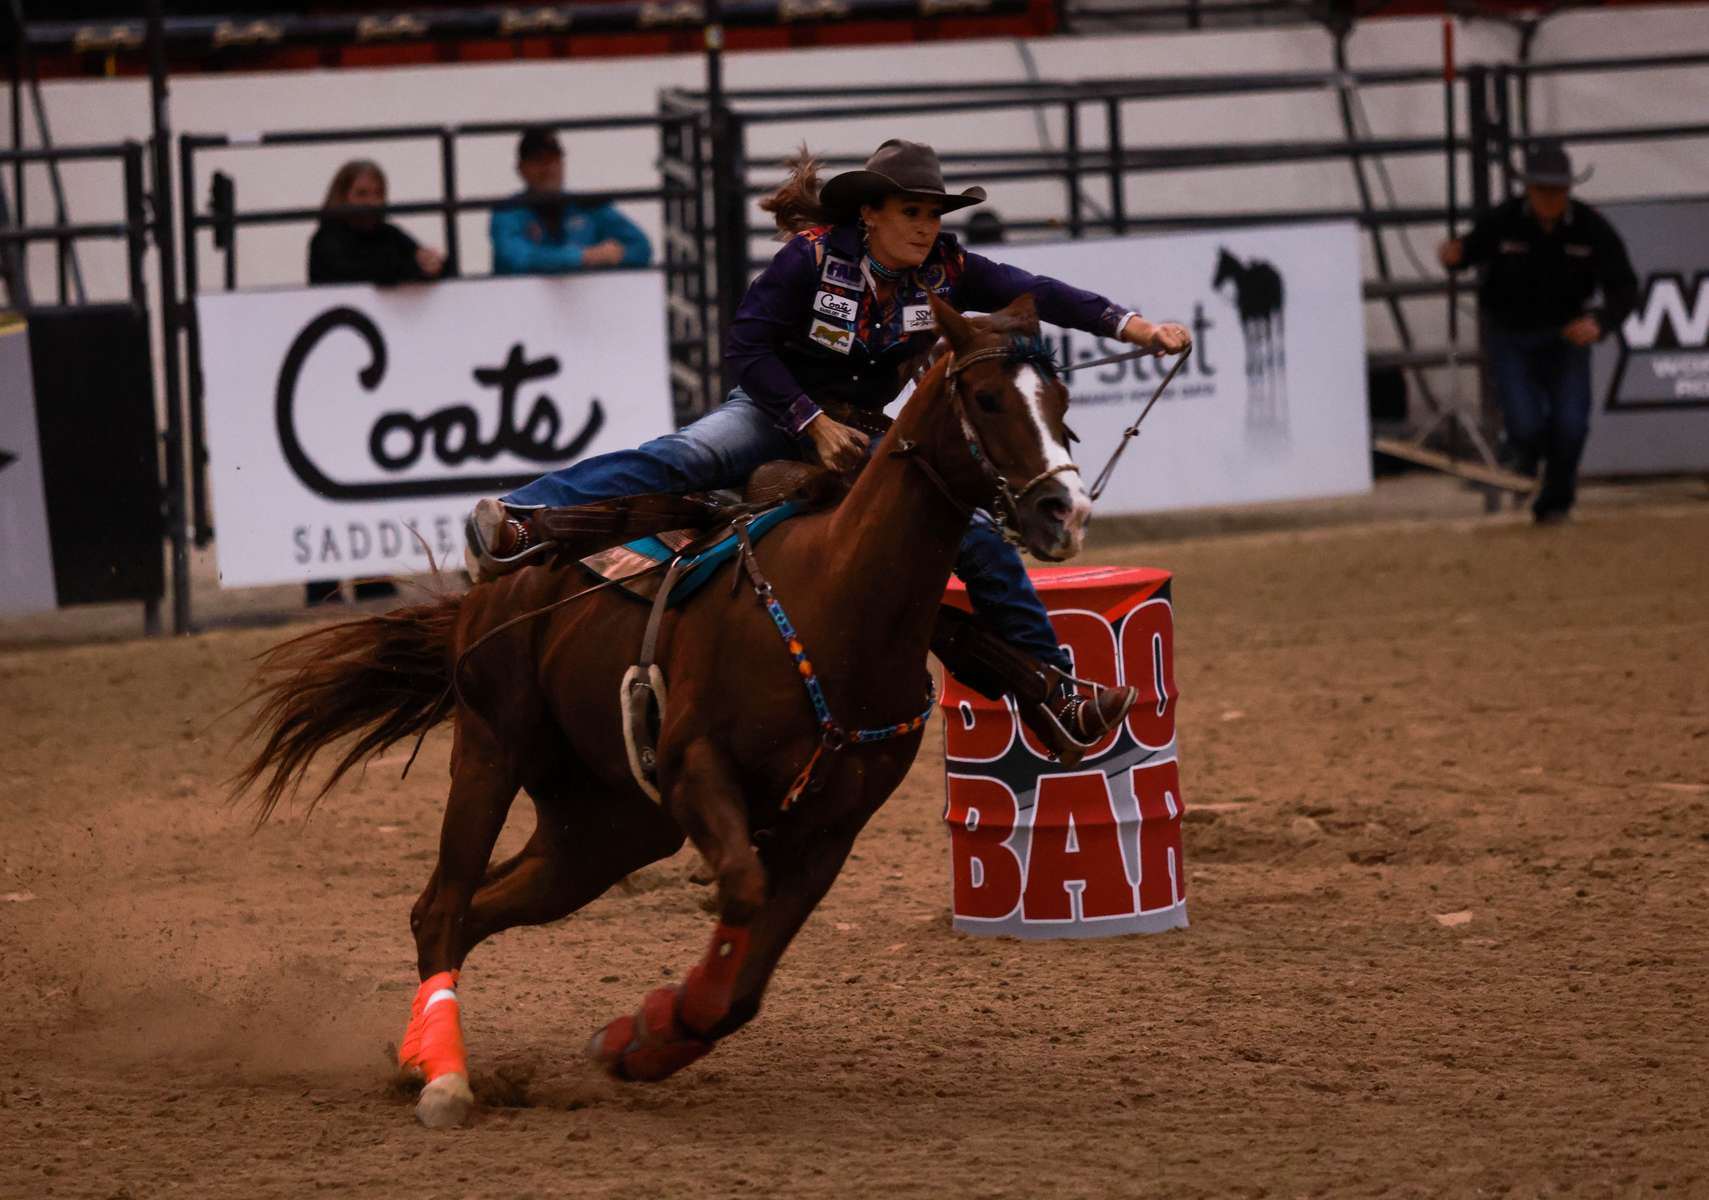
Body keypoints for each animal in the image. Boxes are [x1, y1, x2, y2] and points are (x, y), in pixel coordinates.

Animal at [237, 290, 1093, 1128]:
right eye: (986, 398)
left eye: (1059, 400)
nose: (1064, 508)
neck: (839, 600)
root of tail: (500, 582)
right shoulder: (695, 770)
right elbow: (741, 892)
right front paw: (651, 1027)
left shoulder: (830, 832)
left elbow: (743, 988)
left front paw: (639, 1040)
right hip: (491, 747)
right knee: (444, 906)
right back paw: (444, 1078)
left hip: (604, 831)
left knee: (466, 909)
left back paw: (422, 1056)